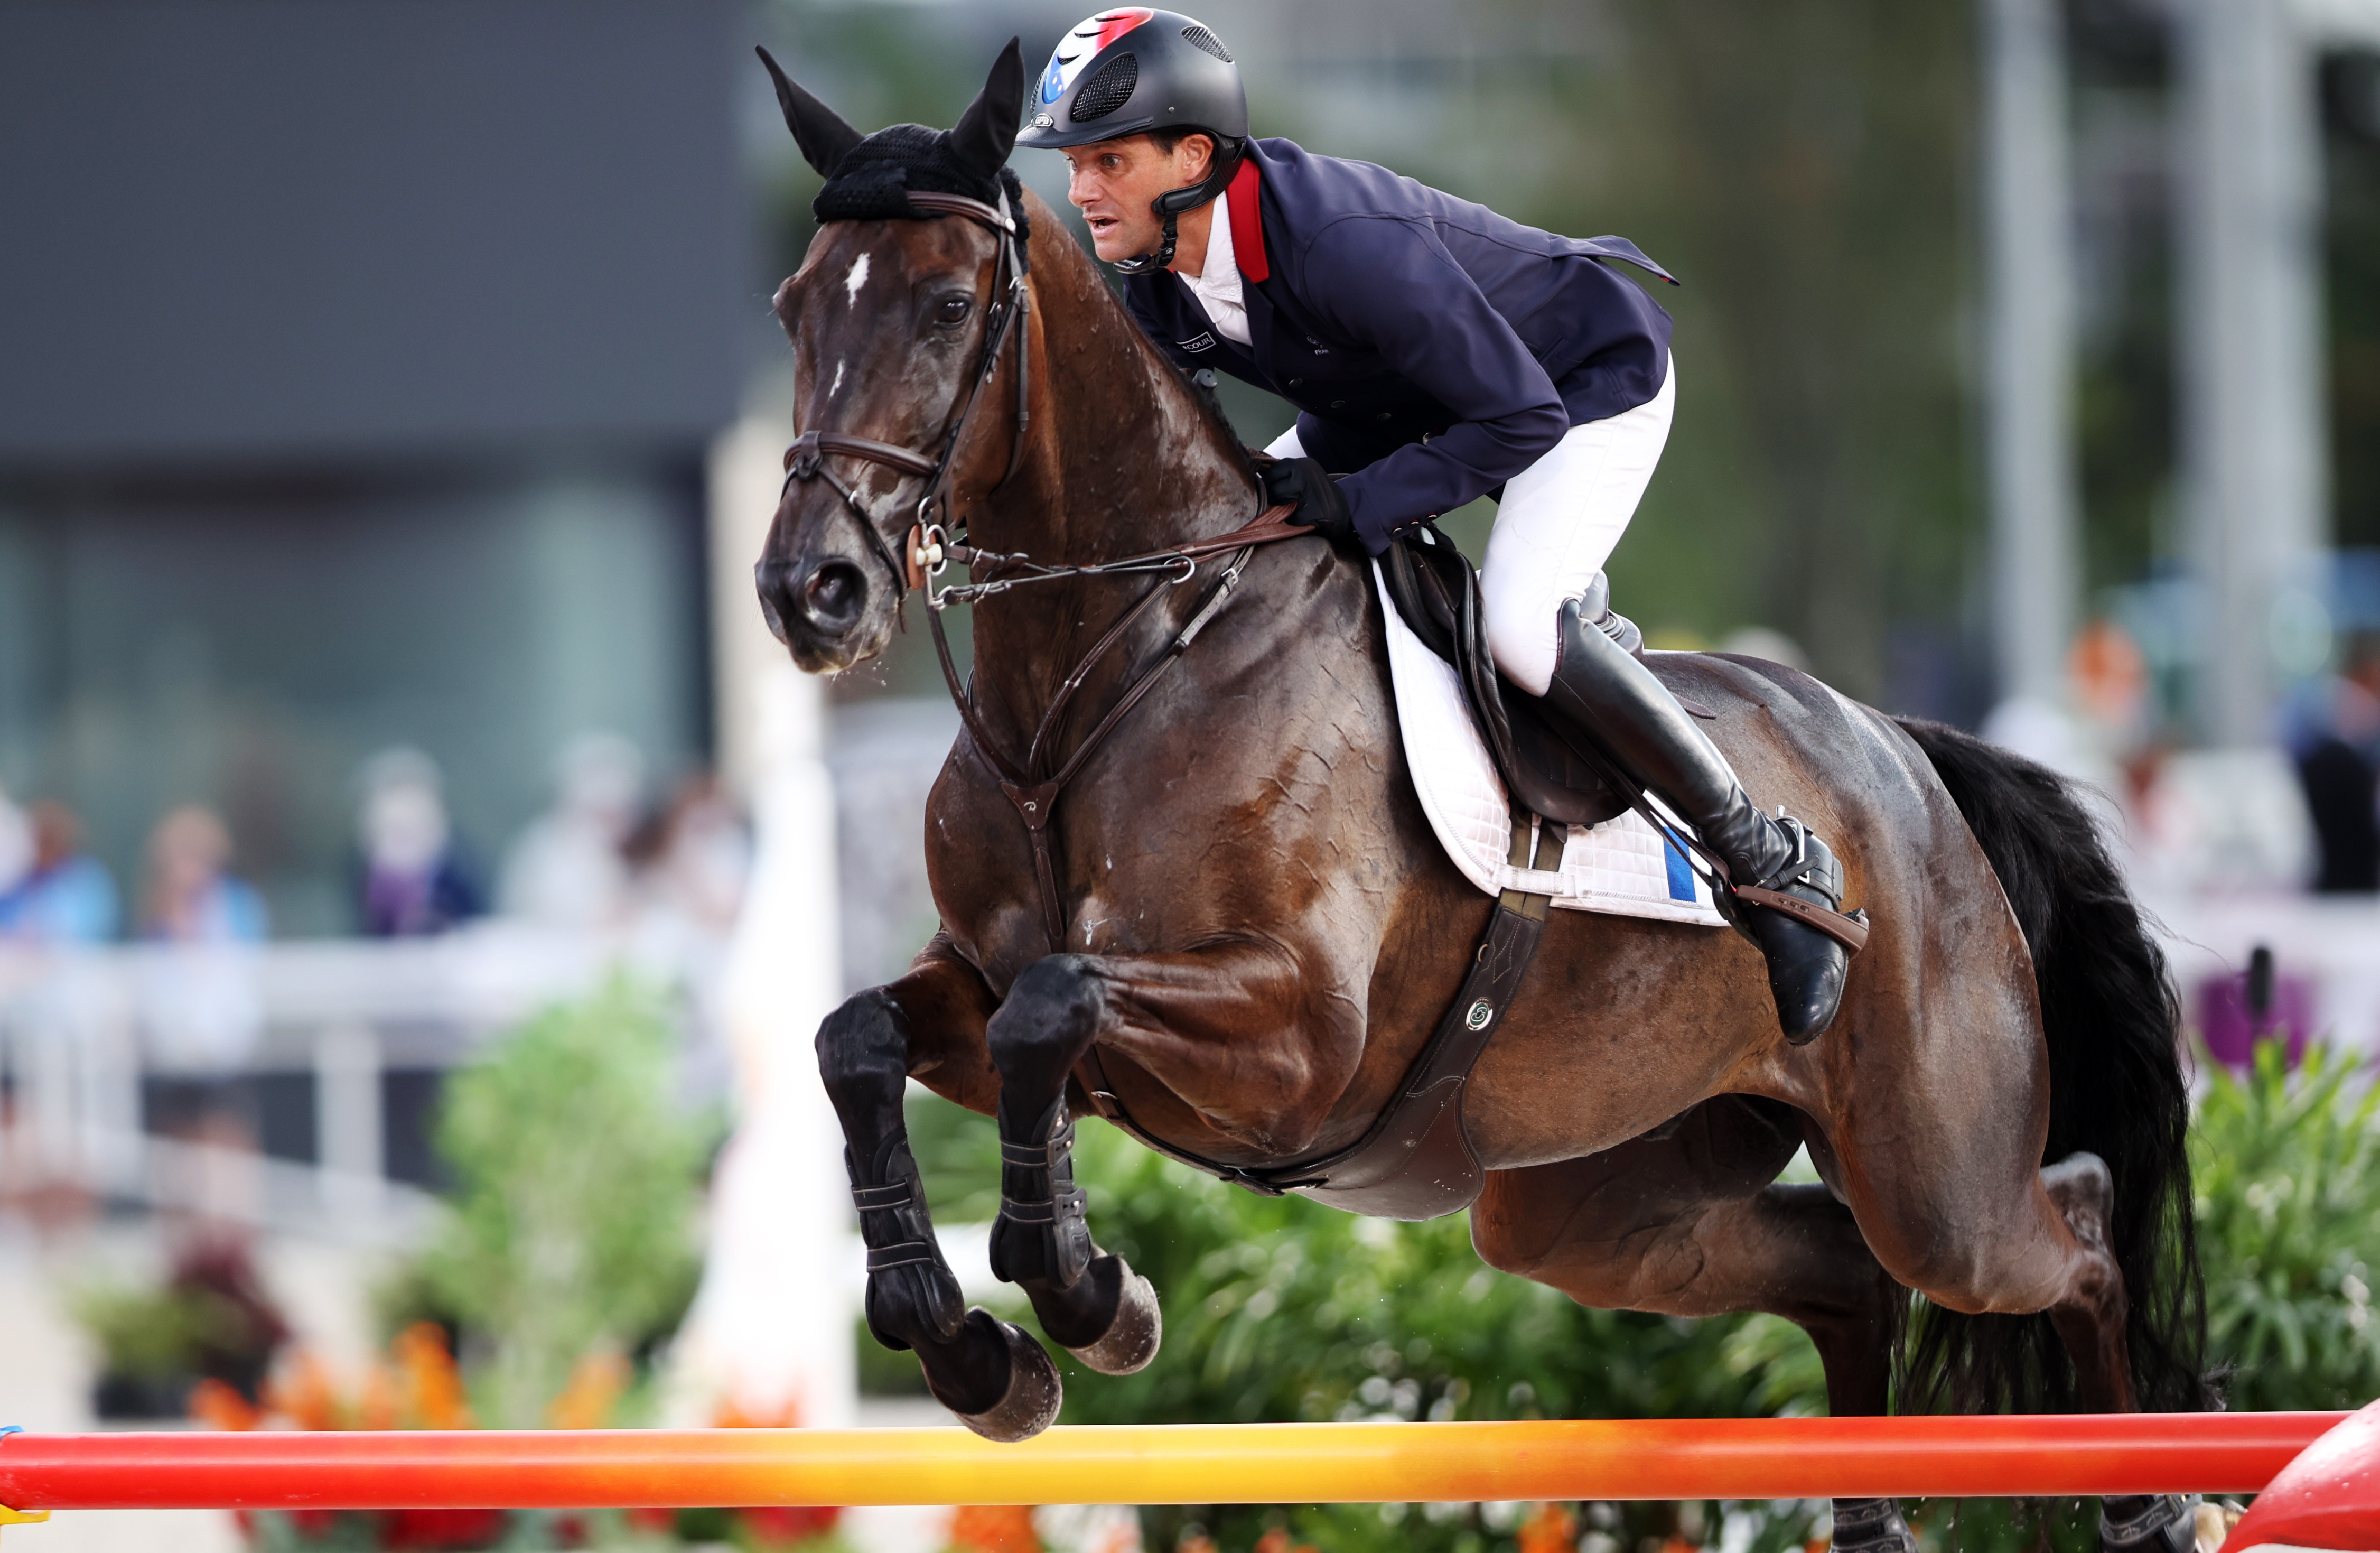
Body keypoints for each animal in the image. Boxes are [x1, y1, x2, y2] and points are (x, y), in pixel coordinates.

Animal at [752, 42, 2199, 1543]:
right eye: (794, 305)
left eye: (945, 306)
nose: (811, 592)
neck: (1109, 665)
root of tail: (1908, 758)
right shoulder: (982, 985)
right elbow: (863, 1036)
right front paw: (976, 1350)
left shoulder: (1295, 1035)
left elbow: (1054, 1004)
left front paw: (1094, 1298)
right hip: (1587, 1196)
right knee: (1845, 1269)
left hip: (1936, 1173)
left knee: (2071, 1229)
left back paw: (2142, 1499)